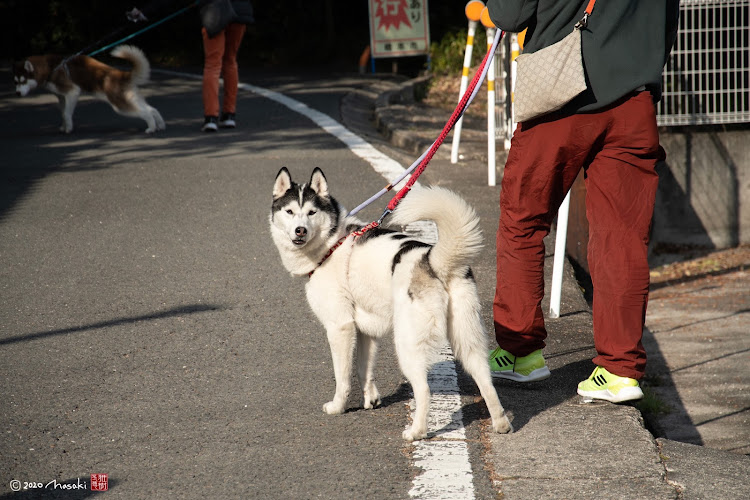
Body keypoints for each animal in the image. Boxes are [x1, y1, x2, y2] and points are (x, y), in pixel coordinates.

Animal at [12, 45, 166, 134]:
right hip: (129, 98)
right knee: (152, 109)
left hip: (119, 105)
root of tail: (121, 74)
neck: (50, 68)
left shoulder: (72, 92)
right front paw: (64, 127)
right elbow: (63, 113)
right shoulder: (62, 97)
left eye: (23, 81)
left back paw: (151, 127)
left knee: (145, 112)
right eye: (15, 82)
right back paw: (160, 125)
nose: (17, 93)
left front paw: (68, 129)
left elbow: (66, 113)